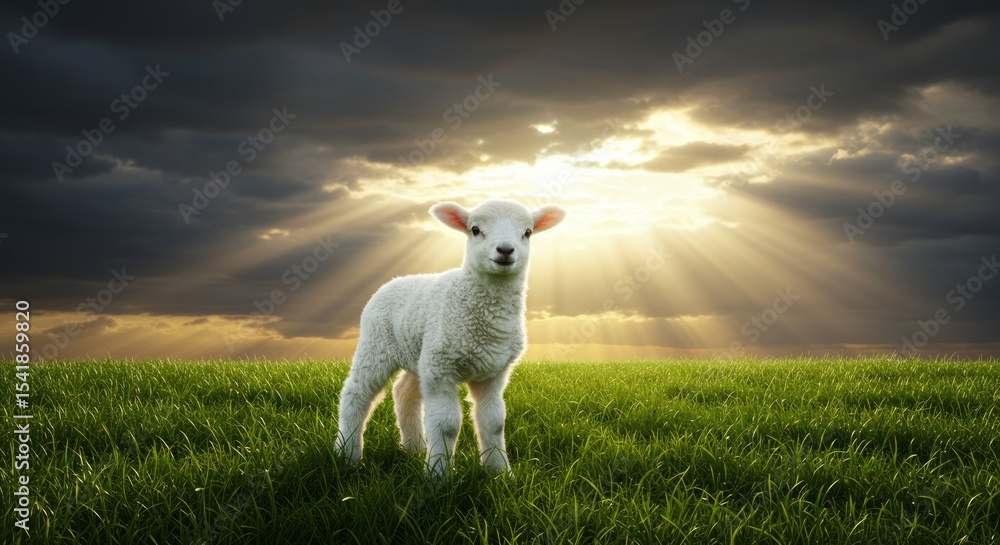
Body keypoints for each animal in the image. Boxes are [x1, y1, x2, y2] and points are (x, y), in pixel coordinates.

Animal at [336, 198, 566, 476]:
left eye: (528, 232)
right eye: (475, 230)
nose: (505, 250)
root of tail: (394, 281)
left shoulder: (494, 373)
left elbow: (494, 421)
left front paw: (499, 472)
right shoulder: (440, 369)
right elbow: (446, 424)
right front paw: (439, 474)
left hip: (419, 355)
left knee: (404, 393)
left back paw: (415, 449)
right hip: (377, 345)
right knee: (355, 394)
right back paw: (347, 454)